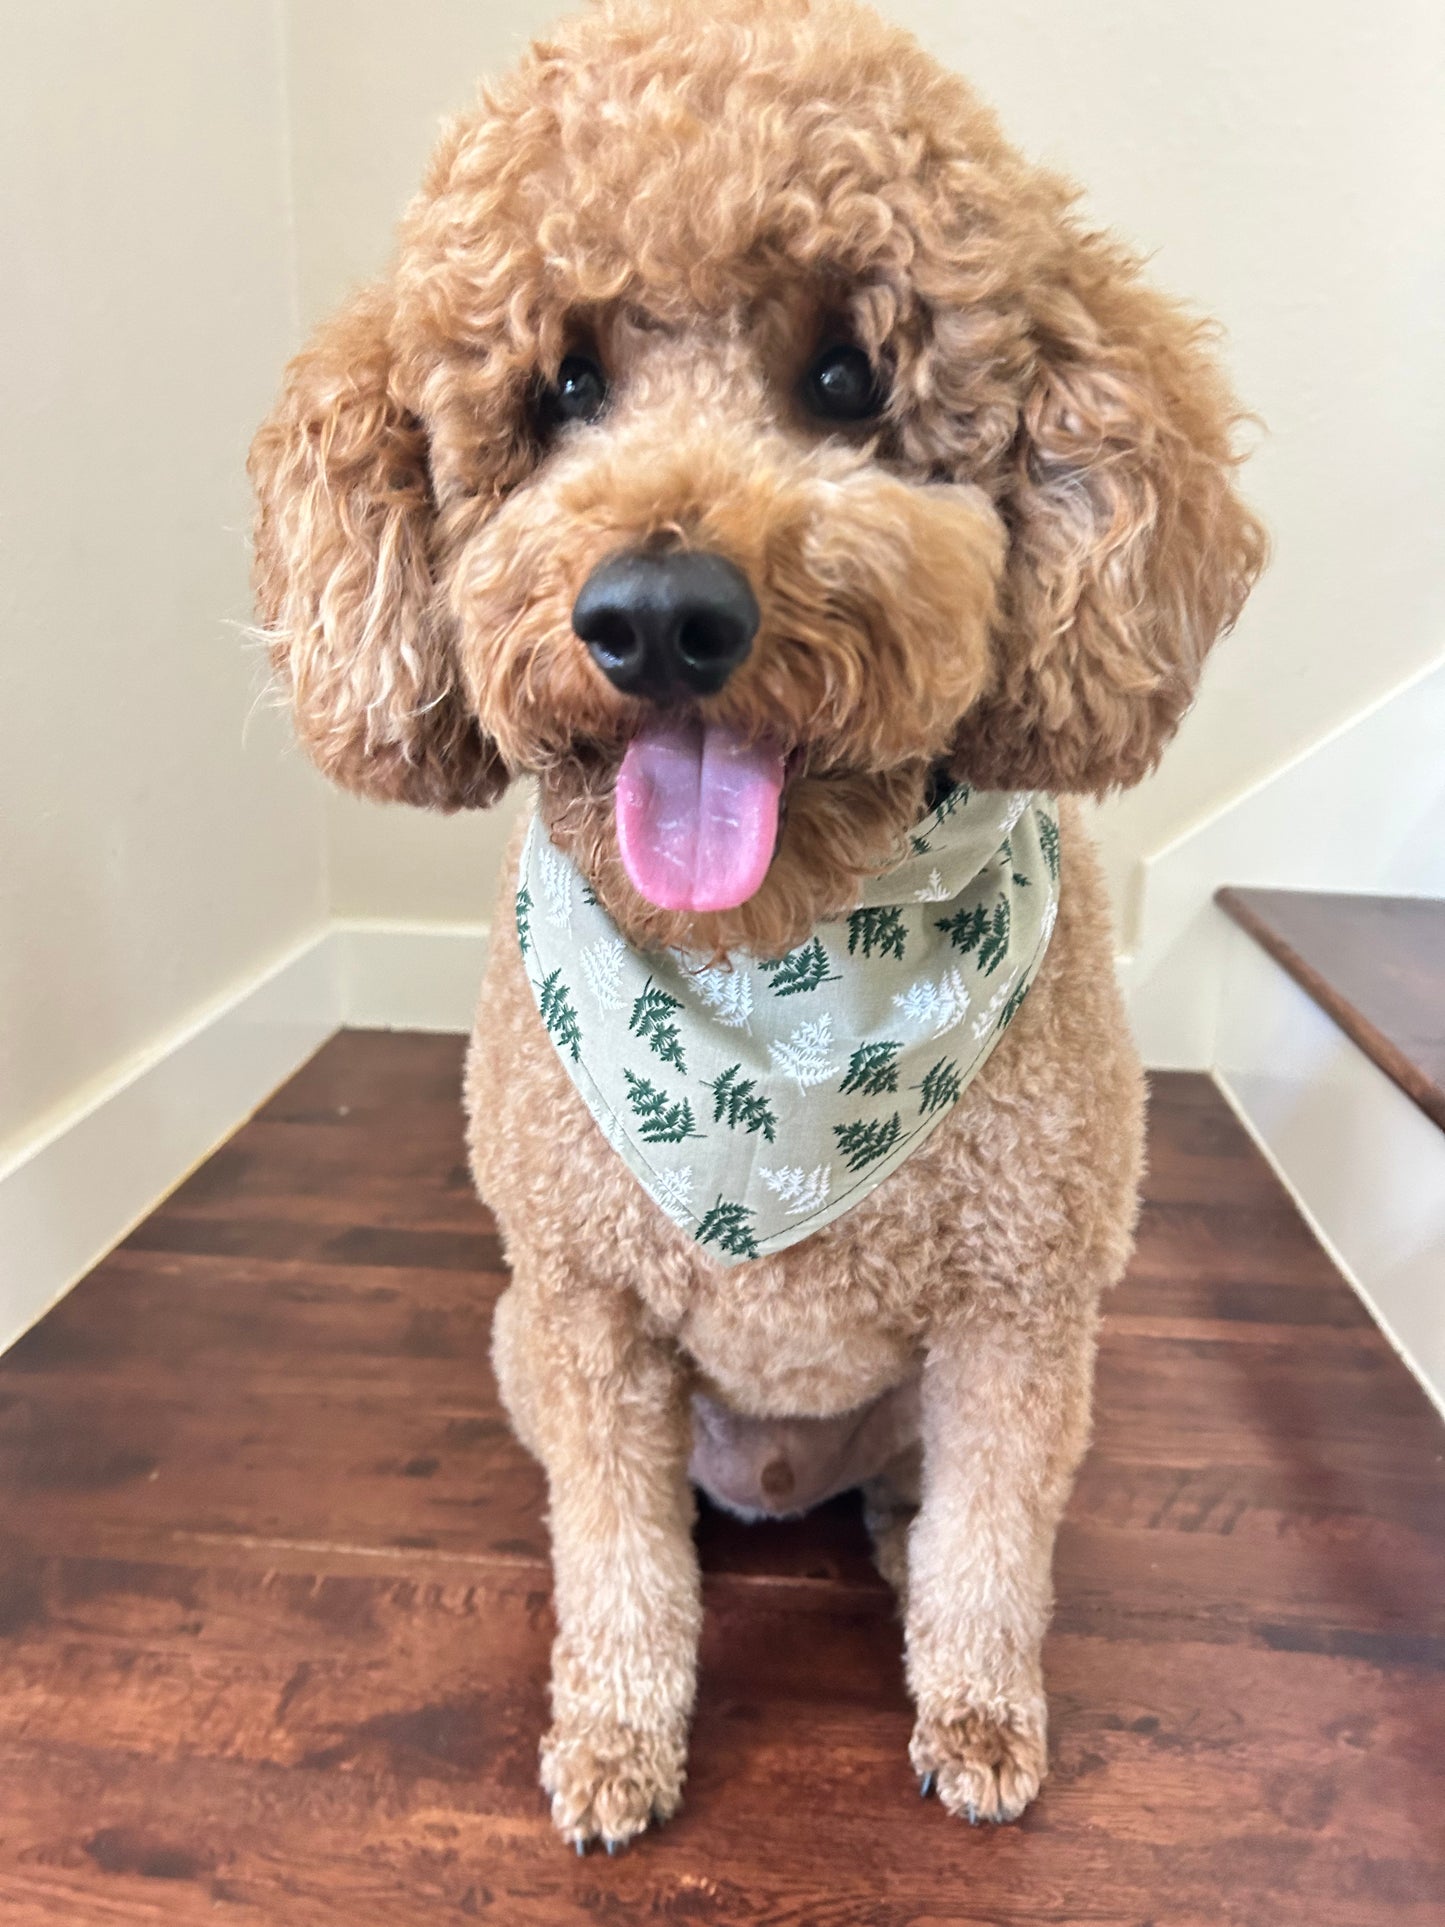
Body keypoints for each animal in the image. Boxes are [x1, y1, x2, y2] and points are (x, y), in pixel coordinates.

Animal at [252, 0, 1263, 1849]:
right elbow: (617, 1554)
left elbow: (995, 1540)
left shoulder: (1021, 1307)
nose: (659, 613)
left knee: (932, 1503)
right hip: (523, 1344)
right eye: (563, 386)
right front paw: (615, 1735)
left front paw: (979, 1714)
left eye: (848, 378)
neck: (779, 994)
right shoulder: (583, 1304)